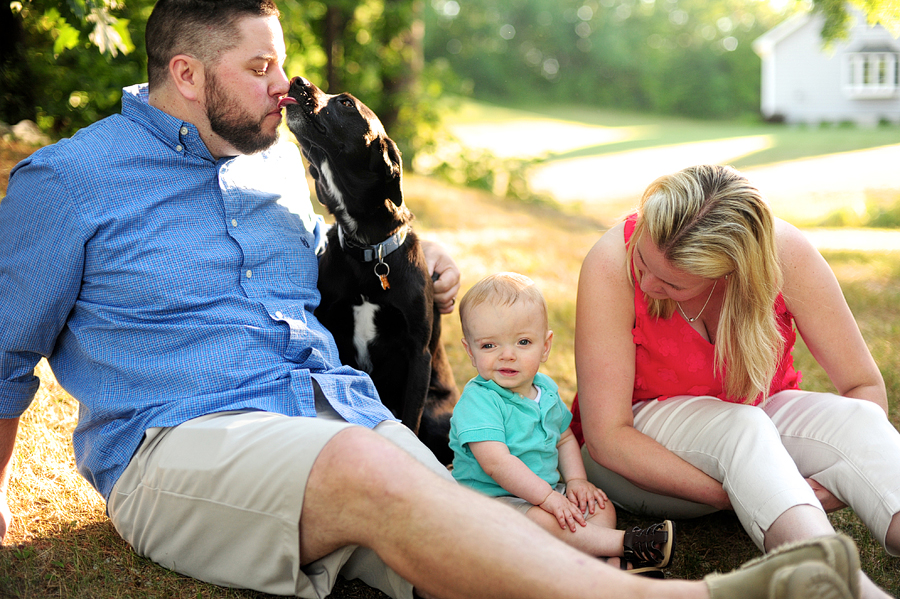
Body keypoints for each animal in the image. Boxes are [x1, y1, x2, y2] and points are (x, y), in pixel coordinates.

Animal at [280, 77, 460, 466]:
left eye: (346, 103)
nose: (297, 80)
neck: (368, 253)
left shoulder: (418, 354)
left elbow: (410, 421)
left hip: (440, 415)